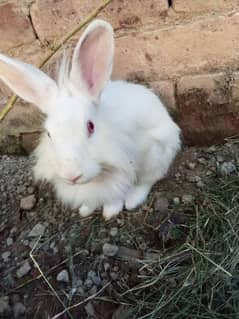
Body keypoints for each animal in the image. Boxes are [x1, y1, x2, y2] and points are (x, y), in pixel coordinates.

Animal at [0, 19, 180, 220]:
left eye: (90, 126)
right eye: (49, 134)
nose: (72, 176)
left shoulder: (124, 168)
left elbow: (117, 193)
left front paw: (111, 211)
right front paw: (86, 209)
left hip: (156, 154)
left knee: (148, 180)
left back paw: (133, 200)